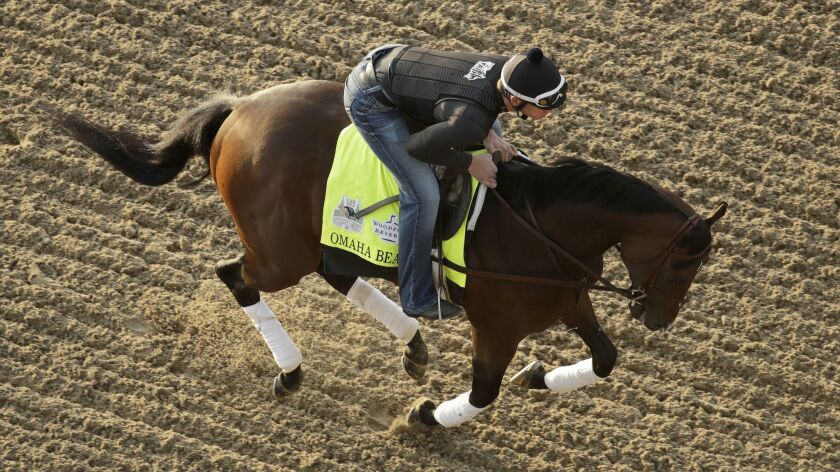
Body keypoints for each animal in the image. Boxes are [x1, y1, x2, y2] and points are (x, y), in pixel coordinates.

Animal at [60, 80, 728, 428]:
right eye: (684, 261)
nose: (659, 318)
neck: (543, 231)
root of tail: (239, 110)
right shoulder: (497, 327)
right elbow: (484, 392)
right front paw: (426, 417)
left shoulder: (568, 301)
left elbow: (607, 359)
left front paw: (540, 375)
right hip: (280, 253)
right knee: (237, 274)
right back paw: (292, 371)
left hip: (310, 241)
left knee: (336, 273)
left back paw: (412, 344)